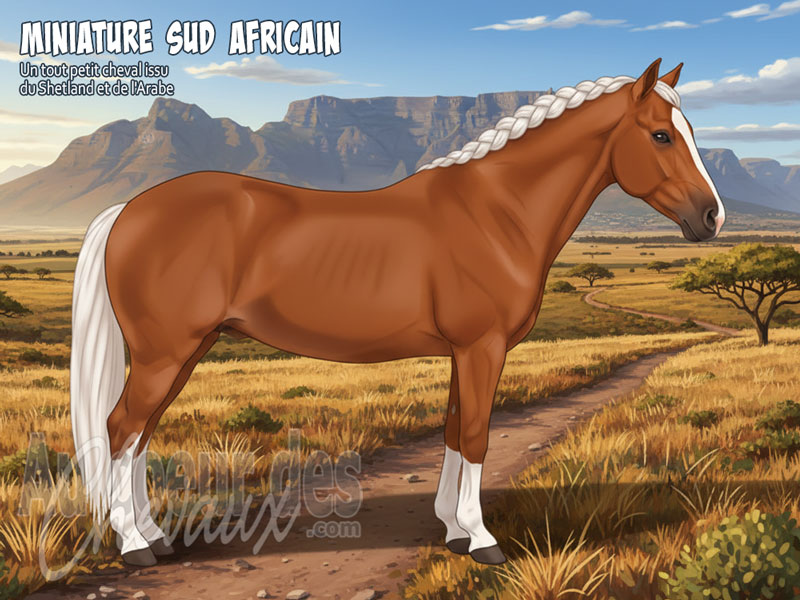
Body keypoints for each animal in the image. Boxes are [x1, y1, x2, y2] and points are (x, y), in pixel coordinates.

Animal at [70, 58, 725, 567]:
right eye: (661, 136)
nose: (712, 217)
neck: (496, 212)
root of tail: (127, 208)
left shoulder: (466, 352)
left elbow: (456, 431)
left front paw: (454, 530)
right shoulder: (482, 347)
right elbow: (478, 436)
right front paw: (483, 540)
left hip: (184, 351)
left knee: (141, 436)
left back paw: (155, 536)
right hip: (166, 353)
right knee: (123, 429)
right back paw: (135, 546)